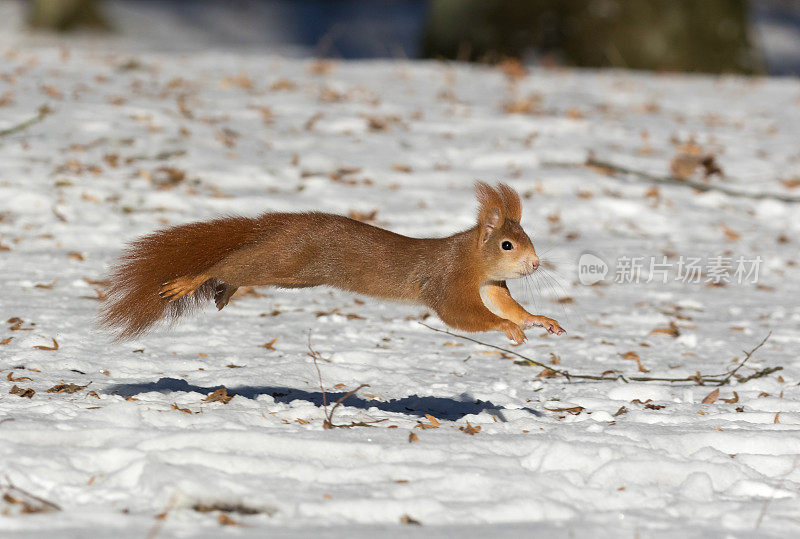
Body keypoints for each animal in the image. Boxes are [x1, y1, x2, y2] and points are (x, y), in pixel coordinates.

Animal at [98, 181, 564, 342]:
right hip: (283, 260)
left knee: (237, 269)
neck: (472, 259)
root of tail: (281, 225)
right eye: (508, 245)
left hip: (292, 272)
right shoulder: (448, 280)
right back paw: (192, 280)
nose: (535, 265)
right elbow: (463, 314)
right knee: (228, 265)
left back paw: (224, 290)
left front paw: (538, 321)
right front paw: (506, 329)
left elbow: (508, 305)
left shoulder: (491, 285)